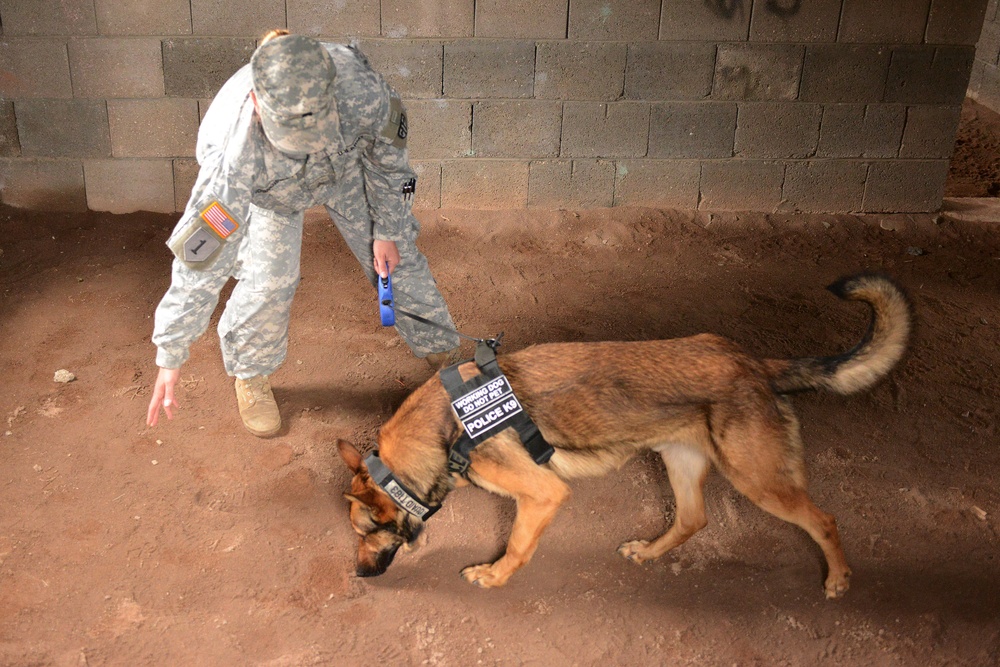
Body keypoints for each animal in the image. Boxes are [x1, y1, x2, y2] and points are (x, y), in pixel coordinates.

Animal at [340, 274, 912, 596]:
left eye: (366, 533)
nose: (359, 577)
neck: (446, 425)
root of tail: (751, 362)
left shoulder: (544, 494)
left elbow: (519, 545)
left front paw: (495, 577)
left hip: (759, 480)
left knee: (824, 520)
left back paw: (838, 578)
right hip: (681, 461)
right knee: (693, 519)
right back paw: (650, 552)